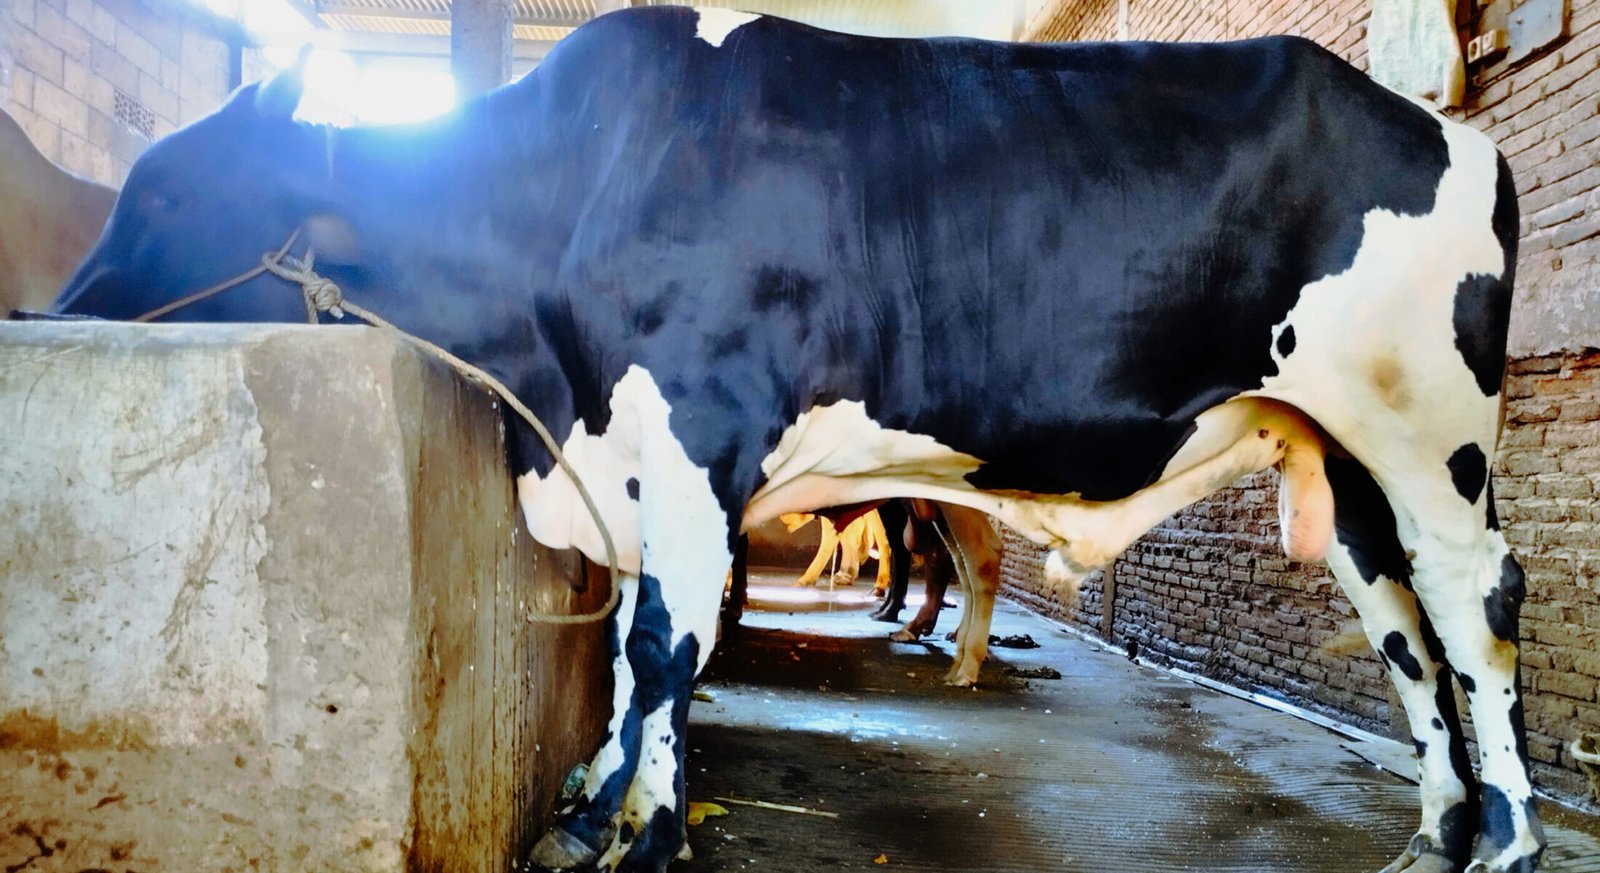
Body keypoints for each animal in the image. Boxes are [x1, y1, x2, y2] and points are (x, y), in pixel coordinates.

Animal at [56, 8, 1542, 869]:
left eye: (166, 190)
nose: (53, 310)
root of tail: (1448, 130)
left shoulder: (699, 427)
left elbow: (666, 643)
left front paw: (640, 832)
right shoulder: (636, 454)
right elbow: (631, 646)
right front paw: (602, 808)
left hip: (1430, 434)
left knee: (1476, 613)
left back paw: (1511, 838)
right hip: (1340, 460)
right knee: (1401, 628)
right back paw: (1436, 832)